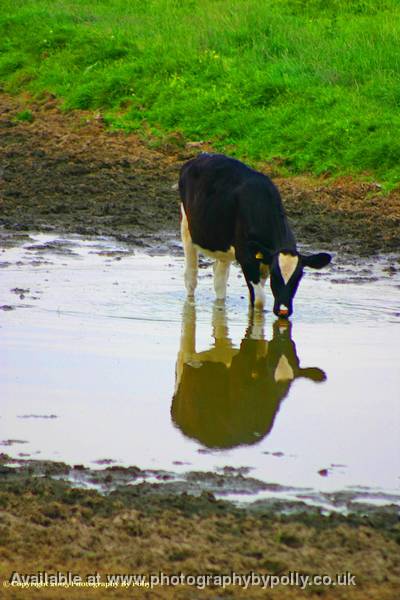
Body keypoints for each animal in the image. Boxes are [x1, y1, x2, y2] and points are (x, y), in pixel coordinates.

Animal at [180, 152, 332, 316]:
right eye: (275, 275)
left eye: (298, 277)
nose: (283, 310)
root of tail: (201, 156)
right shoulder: (246, 257)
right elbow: (259, 301)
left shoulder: (264, 260)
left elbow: (252, 299)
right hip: (187, 227)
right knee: (191, 277)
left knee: (219, 279)